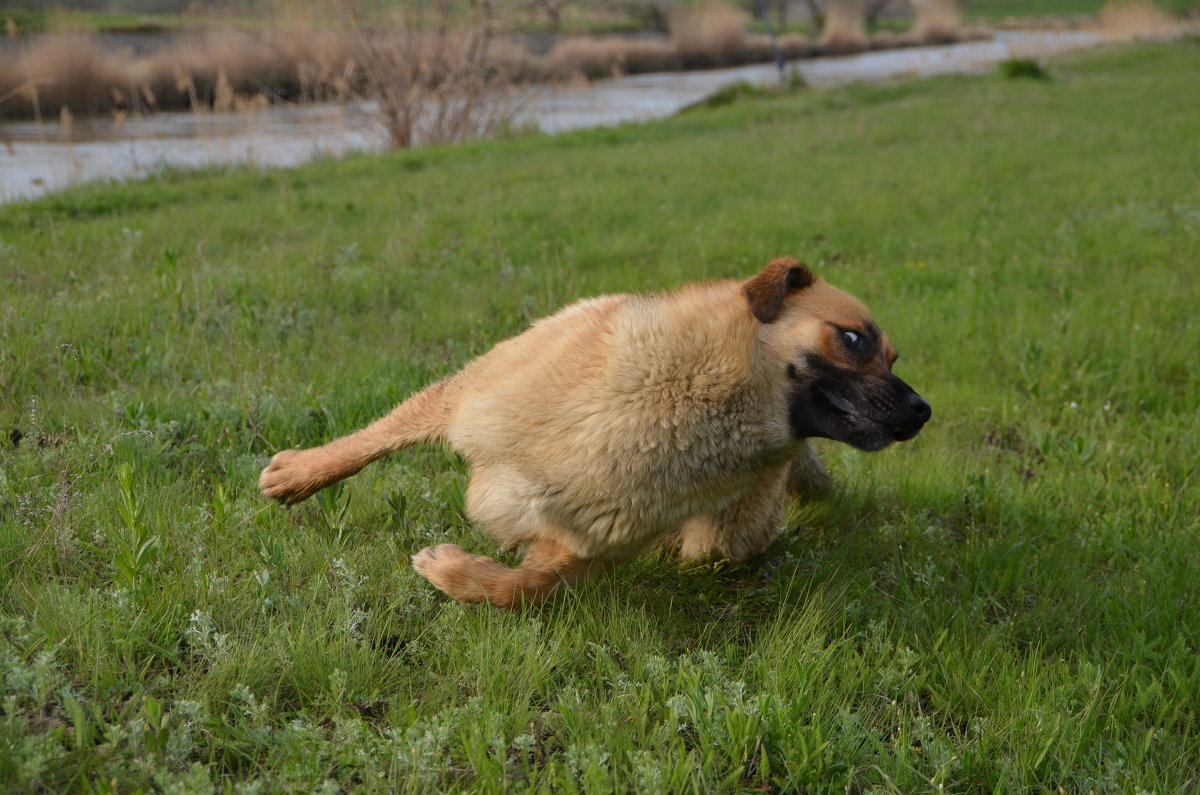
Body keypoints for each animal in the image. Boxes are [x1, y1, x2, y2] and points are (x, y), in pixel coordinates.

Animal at [260, 258, 926, 607]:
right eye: (852, 338)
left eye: (893, 357)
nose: (922, 411)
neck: (674, 399)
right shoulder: (463, 397)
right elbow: (369, 440)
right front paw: (298, 474)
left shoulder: (580, 549)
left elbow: (518, 586)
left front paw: (452, 572)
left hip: (724, 538)